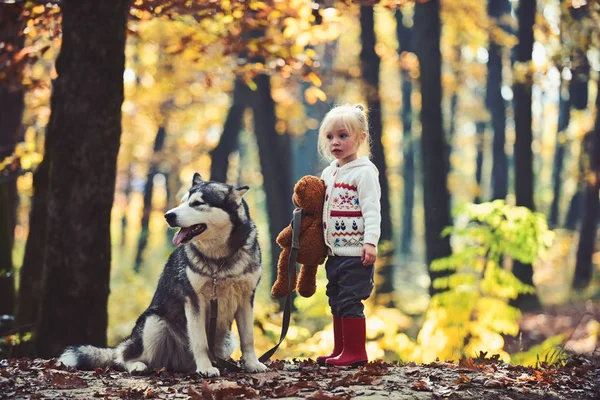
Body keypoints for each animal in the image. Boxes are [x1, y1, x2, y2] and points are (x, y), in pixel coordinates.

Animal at [58, 173, 268, 376]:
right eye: (183, 201)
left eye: (197, 203)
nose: (168, 216)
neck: (220, 260)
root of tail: (180, 362)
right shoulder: (194, 301)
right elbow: (200, 341)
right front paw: (206, 368)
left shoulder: (246, 298)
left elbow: (248, 338)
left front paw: (252, 364)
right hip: (154, 321)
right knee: (124, 357)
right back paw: (138, 365)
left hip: (226, 340)